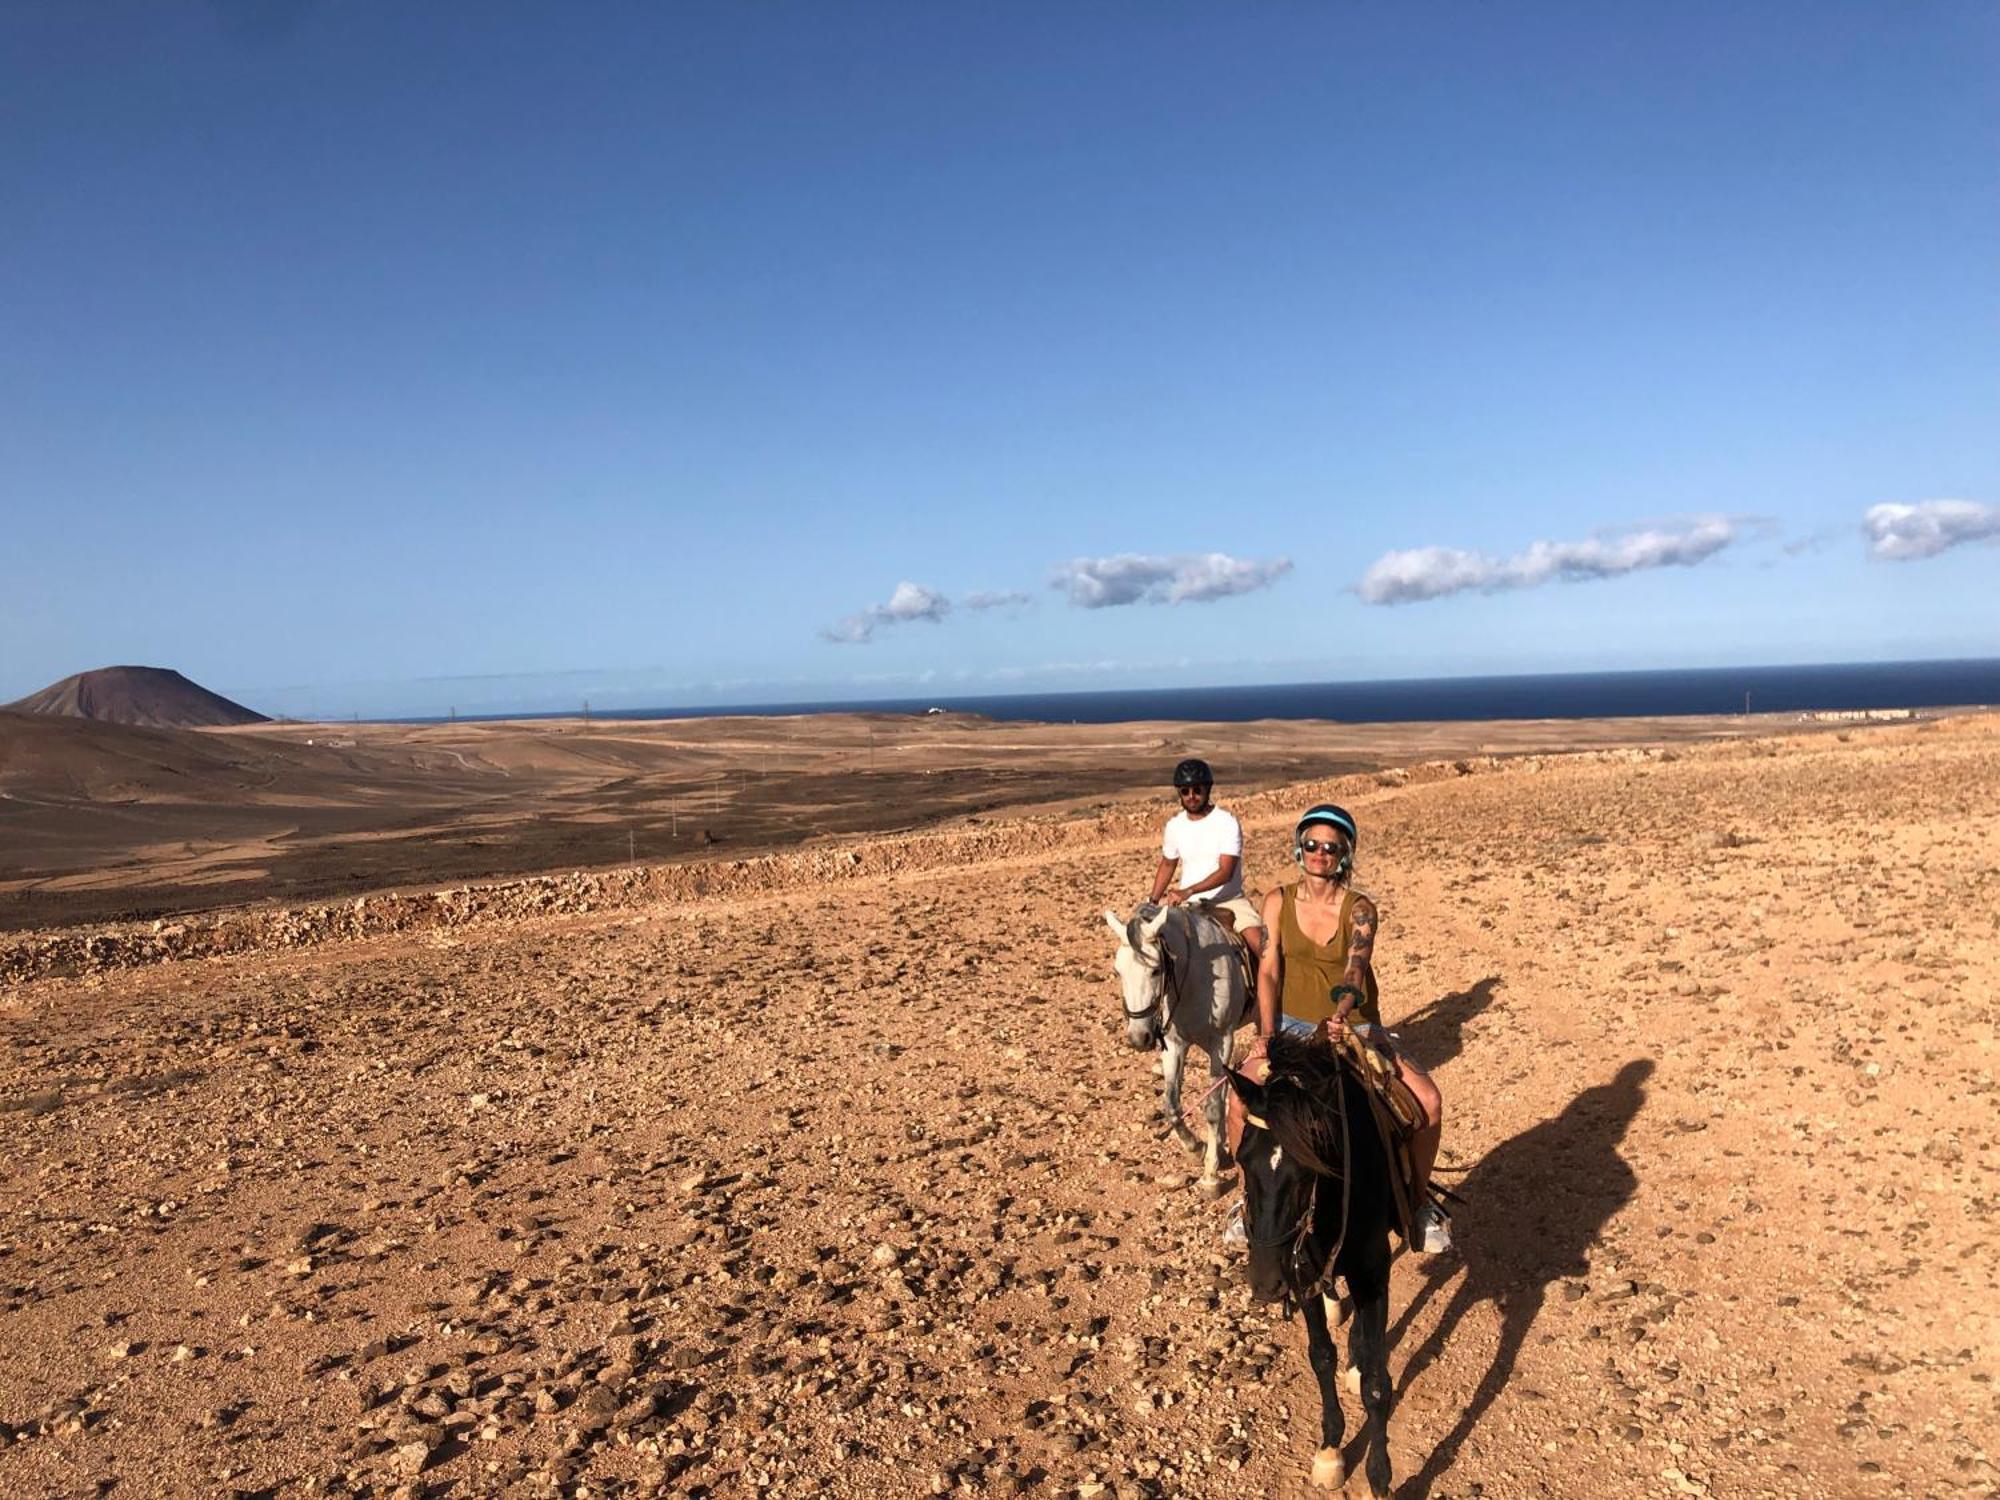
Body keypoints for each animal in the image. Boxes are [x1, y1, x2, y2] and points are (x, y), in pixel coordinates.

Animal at [1112, 904, 1248, 1200]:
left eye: (1155, 970)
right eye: (1118, 972)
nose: (1139, 1038)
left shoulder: (1222, 1042)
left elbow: (1213, 1107)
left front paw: (1210, 1176)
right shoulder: (1175, 1046)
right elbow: (1172, 1105)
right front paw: (1197, 1148)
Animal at [1224, 1040, 1400, 1496]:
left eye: (1307, 1172)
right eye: (1241, 1160)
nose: (1266, 1284)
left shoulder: (1373, 1272)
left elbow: (1377, 1385)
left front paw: (1380, 1475)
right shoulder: (1301, 1274)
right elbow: (1321, 1356)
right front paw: (1330, 1450)